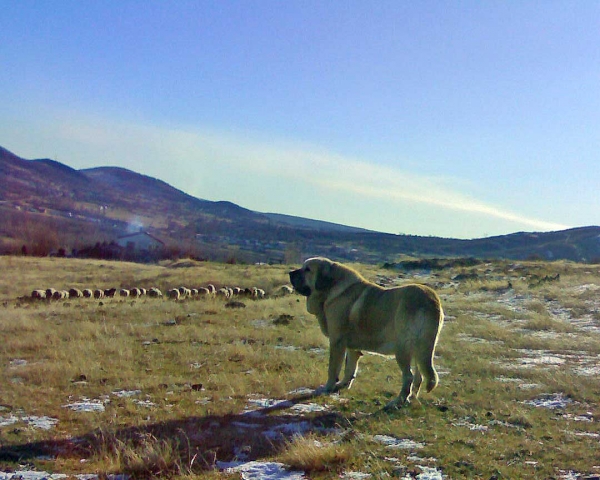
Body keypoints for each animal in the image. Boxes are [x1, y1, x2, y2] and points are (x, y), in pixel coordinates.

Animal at [290, 256, 446, 410]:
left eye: (307, 269)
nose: (290, 273)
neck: (331, 288)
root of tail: (430, 300)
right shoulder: (351, 347)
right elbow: (349, 368)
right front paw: (343, 385)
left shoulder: (337, 342)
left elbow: (333, 369)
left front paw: (327, 388)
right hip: (419, 350)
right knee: (419, 376)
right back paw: (411, 399)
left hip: (403, 349)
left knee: (409, 376)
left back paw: (397, 401)